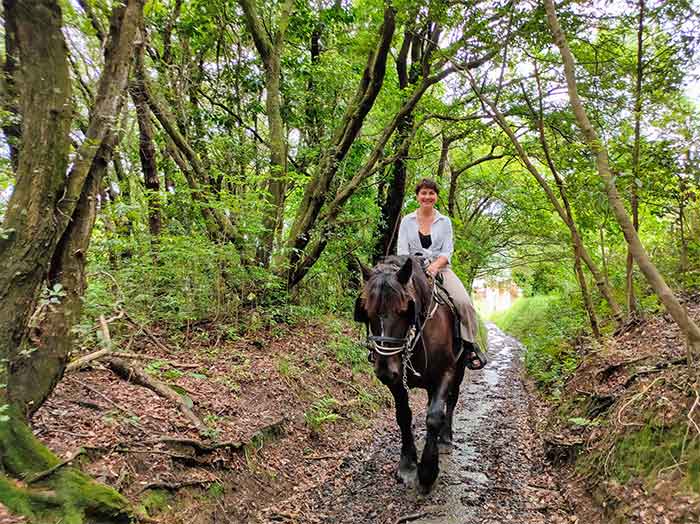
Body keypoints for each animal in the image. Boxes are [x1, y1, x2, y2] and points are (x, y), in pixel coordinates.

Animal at [356, 256, 464, 494]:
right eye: (366, 311)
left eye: (405, 310)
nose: (384, 370)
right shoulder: (397, 381)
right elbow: (404, 415)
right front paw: (407, 465)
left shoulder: (446, 372)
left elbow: (434, 416)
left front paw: (428, 471)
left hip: (459, 371)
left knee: (451, 401)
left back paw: (445, 438)